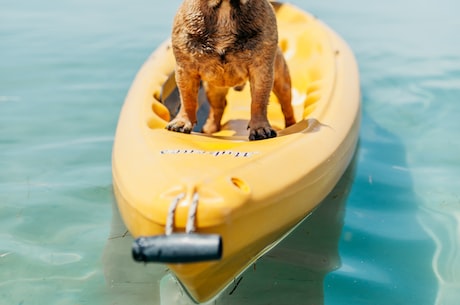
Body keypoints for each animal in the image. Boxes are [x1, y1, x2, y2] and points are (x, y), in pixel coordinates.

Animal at [165, 0, 294, 140]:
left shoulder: (261, 70)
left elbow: (258, 101)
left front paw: (260, 128)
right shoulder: (186, 69)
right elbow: (188, 98)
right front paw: (182, 121)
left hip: (282, 82)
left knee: (287, 106)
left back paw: (292, 125)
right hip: (213, 89)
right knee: (217, 108)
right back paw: (211, 128)